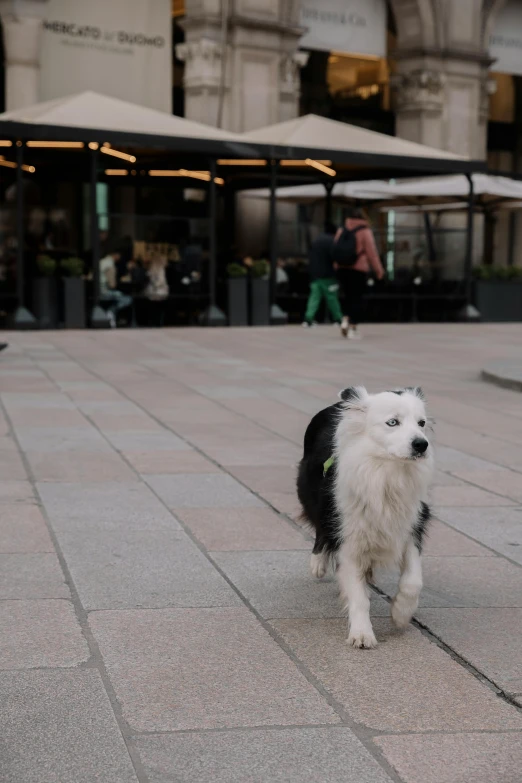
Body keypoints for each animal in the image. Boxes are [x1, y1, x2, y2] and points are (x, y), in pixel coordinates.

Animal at [294, 386, 432, 648]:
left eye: (422, 423)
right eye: (392, 422)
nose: (422, 444)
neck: (385, 471)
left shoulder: (412, 522)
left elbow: (413, 581)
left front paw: (401, 613)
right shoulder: (348, 535)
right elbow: (358, 595)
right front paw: (361, 633)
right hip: (313, 494)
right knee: (320, 527)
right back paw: (318, 563)